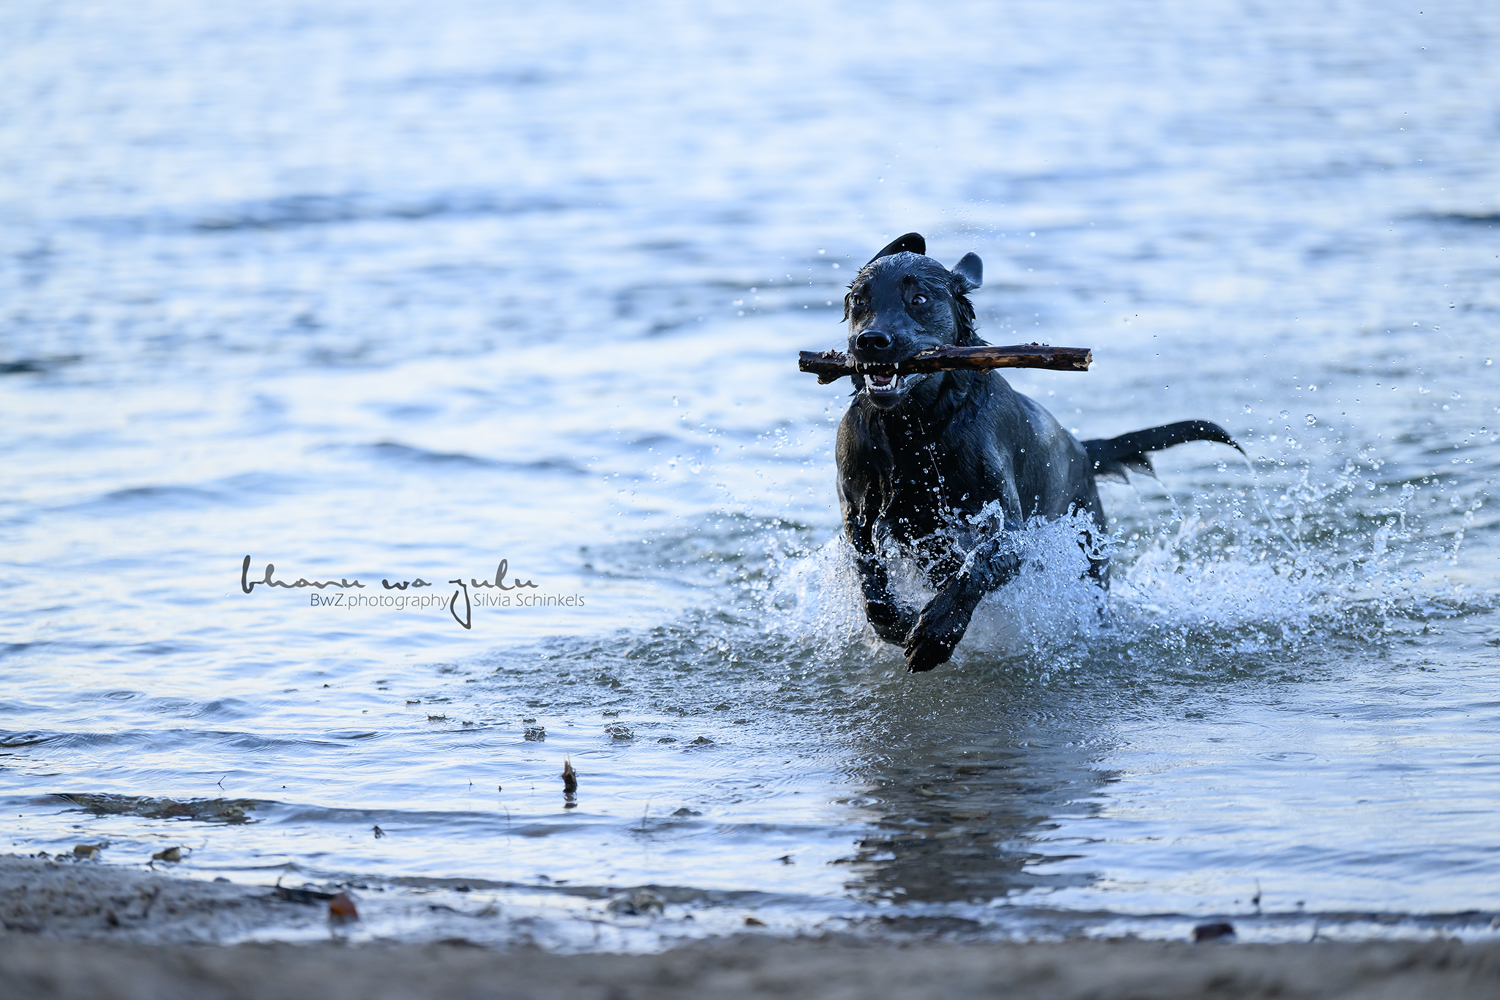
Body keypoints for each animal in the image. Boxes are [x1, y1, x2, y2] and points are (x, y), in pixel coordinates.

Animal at [834, 232, 1242, 671]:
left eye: (919, 299)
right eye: (859, 301)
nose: (870, 341)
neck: (915, 430)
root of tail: (1082, 450)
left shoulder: (1009, 531)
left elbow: (977, 565)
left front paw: (936, 633)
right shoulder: (857, 511)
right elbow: (868, 574)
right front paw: (895, 622)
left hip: (1089, 556)